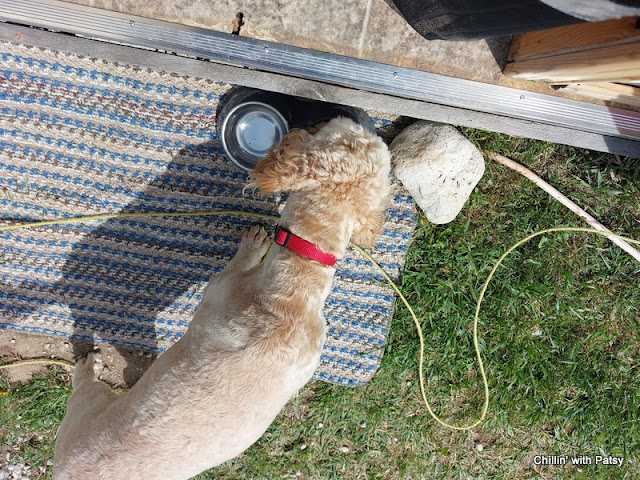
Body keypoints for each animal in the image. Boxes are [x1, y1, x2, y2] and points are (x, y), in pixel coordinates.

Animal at [53, 117, 391, 479]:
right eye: (360, 134)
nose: (362, 118)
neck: (298, 281)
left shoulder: (220, 287)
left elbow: (238, 263)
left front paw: (253, 244)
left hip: (84, 409)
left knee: (82, 388)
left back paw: (87, 366)